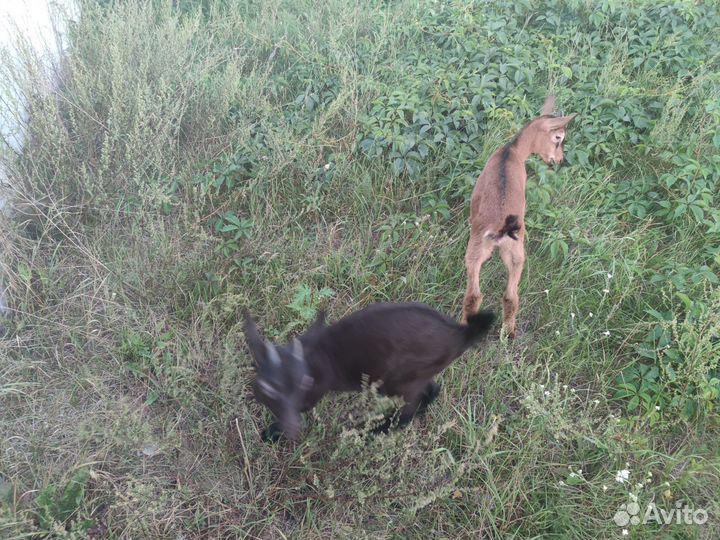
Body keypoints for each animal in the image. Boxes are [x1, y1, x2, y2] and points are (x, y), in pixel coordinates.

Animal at [244, 303, 495, 441]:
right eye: (269, 388)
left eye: (304, 382)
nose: (293, 431)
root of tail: (461, 334)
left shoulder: (311, 395)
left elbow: (298, 409)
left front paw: (271, 434)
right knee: (432, 390)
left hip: (400, 380)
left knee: (411, 406)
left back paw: (375, 430)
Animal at [462, 96, 576, 337]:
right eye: (558, 137)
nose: (558, 159)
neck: (512, 152)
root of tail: (502, 230)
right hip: (516, 256)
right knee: (510, 296)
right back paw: (509, 333)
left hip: (476, 251)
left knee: (474, 295)